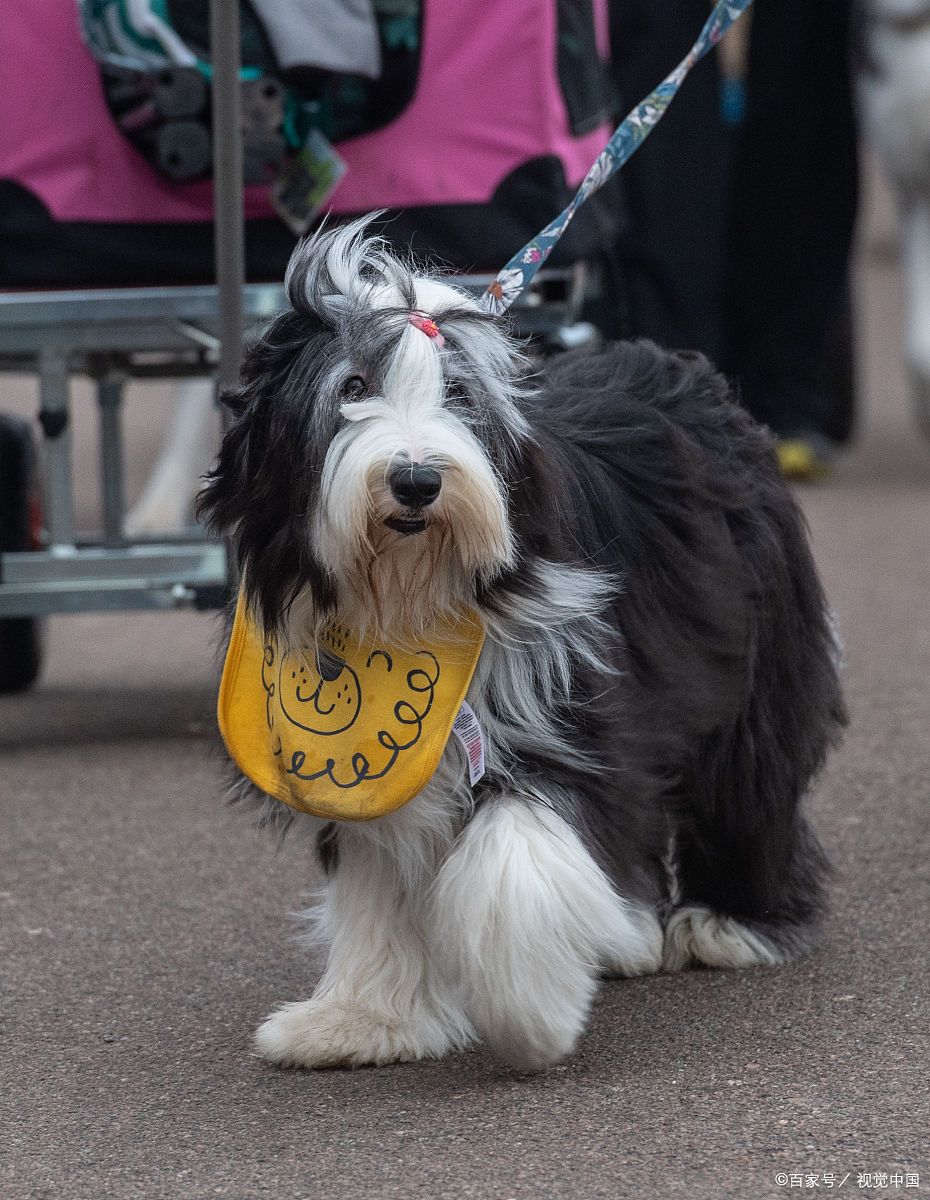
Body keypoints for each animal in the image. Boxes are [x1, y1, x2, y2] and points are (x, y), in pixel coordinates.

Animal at [200, 220, 849, 1075]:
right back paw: (628, 929)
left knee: (748, 782)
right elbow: (379, 875)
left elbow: (515, 852)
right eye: (350, 387)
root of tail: (682, 370)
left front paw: (528, 1013)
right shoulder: (367, 770)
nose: (415, 480)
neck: (410, 603)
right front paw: (363, 1018)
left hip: (754, 662)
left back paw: (730, 921)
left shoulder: (566, 703)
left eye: (459, 395)